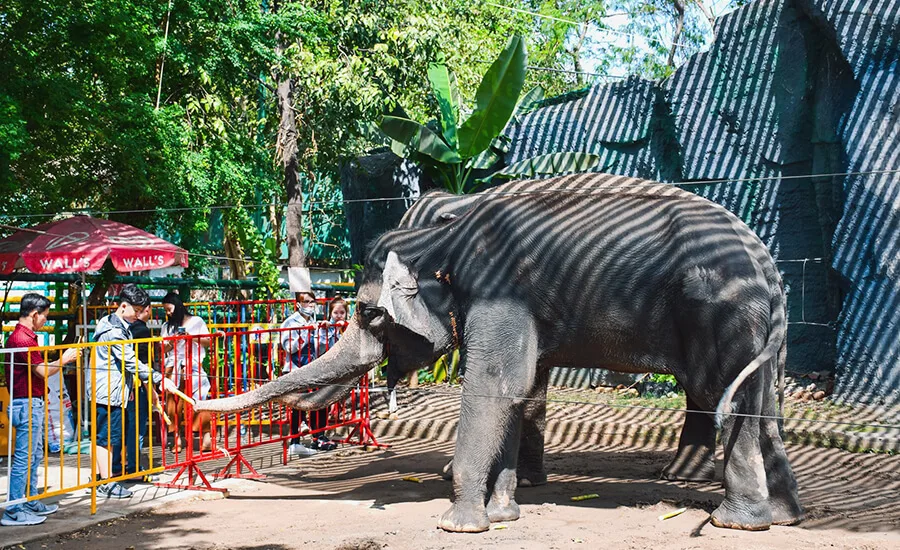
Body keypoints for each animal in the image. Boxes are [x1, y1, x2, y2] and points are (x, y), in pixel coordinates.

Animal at [197, 172, 804, 533]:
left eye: (370, 315)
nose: (194, 406)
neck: (444, 235)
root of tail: (764, 256)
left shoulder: (498, 292)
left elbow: (491, 389)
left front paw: (458, 524)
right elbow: (517, 391)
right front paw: (504, 513)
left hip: (721, 313)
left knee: (725, 396)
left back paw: (735, 523)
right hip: (760, 329)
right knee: (765, 405)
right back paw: (782, 517)